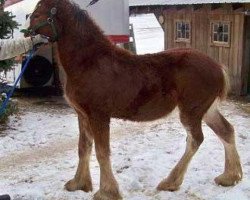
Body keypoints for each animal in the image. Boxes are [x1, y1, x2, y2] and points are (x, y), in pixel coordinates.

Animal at [27, 0, 242, 199]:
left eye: (37, 15)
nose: (27, 33)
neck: (90, 62)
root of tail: (217, 67)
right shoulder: (82, 115)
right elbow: (83, 148)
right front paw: (79, 184)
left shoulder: (99, 116)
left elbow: (102, 152)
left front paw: (107, 191)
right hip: (207, 110)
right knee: (226, 131)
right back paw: (230, 177)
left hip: (191, 112)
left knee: (195, 140)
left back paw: (170, 182)